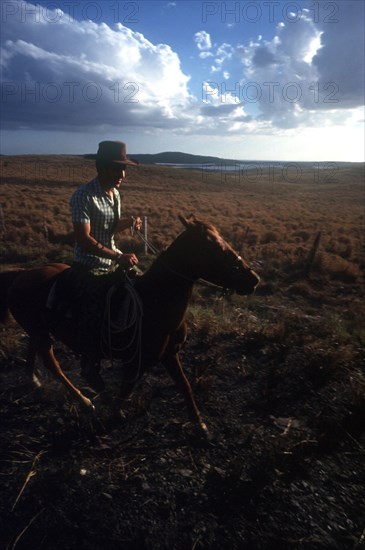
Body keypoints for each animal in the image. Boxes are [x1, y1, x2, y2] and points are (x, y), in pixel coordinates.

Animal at [0, 216, 258, 436]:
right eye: (214, 248)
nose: (253, 278)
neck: (153, 300)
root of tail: (21, 274)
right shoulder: (136, 362)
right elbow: (126, 389)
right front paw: (115, 413)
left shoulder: (170, 355)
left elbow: (185, 385)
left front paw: (200, 424)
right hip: (41, 332)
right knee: (53, 364)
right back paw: (84, 401)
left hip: (38, 329)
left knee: (34, 348)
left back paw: (34, 379)